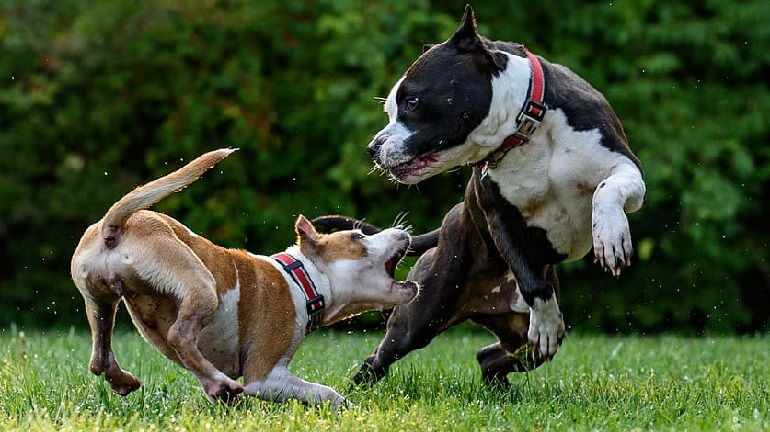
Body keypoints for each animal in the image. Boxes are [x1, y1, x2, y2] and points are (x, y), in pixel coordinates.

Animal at [70, 147, 420, 406]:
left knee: (100, 358)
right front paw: (348, 408)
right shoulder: (265, 376)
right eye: (358, 237)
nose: (403, 231)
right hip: (200, 283)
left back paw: (132, 380)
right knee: (179, 335)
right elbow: (324, 392)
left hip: (101, 302)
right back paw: (219, 382)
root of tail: (114, 226)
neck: (302, 278)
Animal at [318, 5, 640, 384]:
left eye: (412, 102)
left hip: (518, 337)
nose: (373, 147)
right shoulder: (499, 216)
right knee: (379, 358)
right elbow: (532, 283)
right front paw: (546, 321)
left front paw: (610, 236)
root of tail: (449, 221)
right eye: (391, 110)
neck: (525, 129)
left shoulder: (626, 168)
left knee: (491, 356)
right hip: (421, 316)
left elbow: (607, 188)